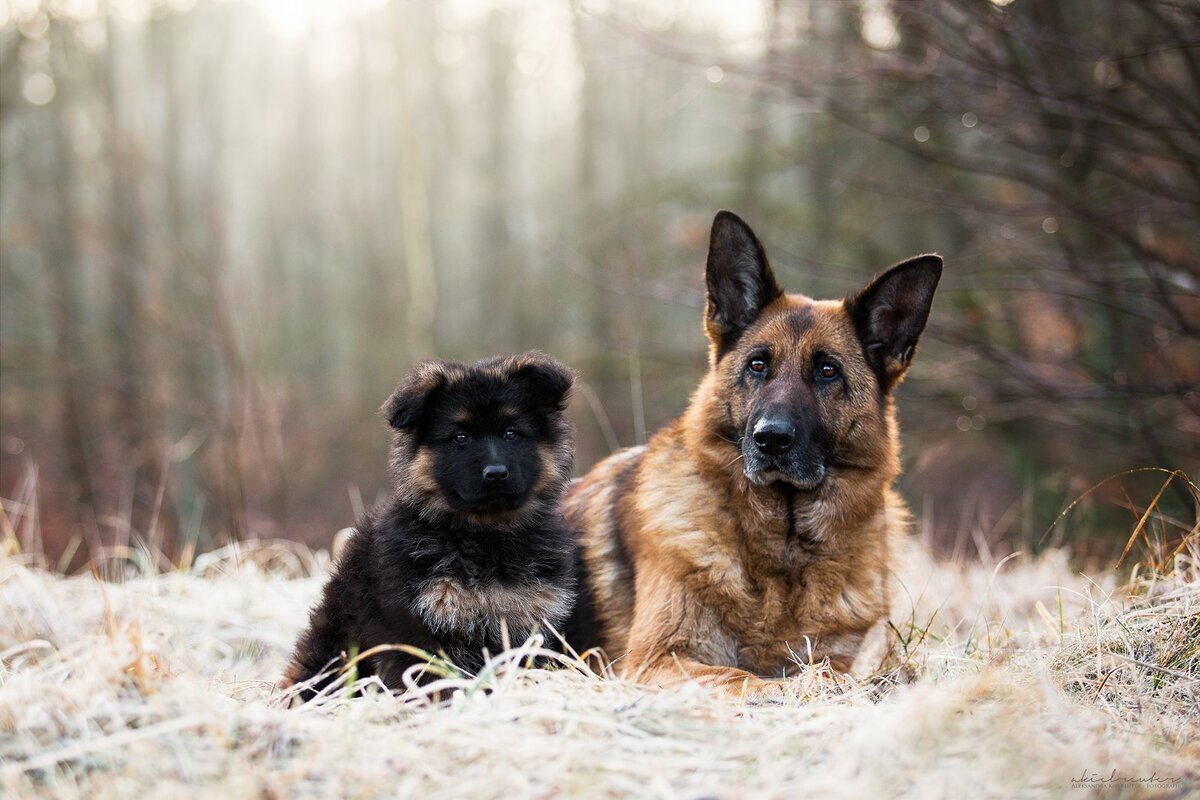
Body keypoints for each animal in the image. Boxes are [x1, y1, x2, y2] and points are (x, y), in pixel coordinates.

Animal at [285, 352, 576, 695]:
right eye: (460, 438)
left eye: (511, 433)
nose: (495, 473)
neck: (483, 535)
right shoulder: (419, 630)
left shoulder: (528, 624)